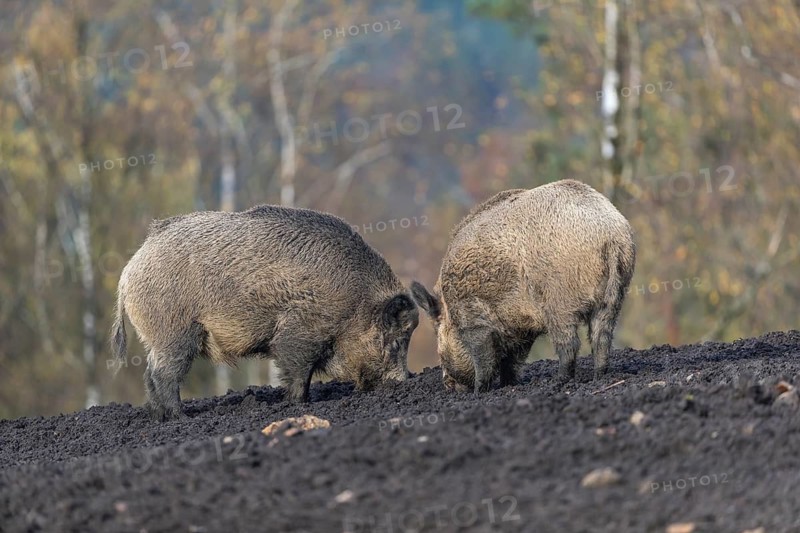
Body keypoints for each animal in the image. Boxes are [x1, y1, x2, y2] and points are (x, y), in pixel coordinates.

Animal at [111, 205, 419, 420]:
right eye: (396, 341)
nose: (403, 381)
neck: (356, 302)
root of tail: (128, 272)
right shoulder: (300, 332)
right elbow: (299, 371)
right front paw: (298, 404)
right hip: (175, 332)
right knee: (163, 373)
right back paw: (180, 417)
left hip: (158, 336)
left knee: (149, 371)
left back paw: (159, 417)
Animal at [411, 180, 635, 392]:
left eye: (437, 334)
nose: (448, 385)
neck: (449, 307)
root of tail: (610, 235)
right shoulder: (521, 328)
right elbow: (514, 360)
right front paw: (508, 384)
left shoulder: (474, 318)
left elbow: (484, 357)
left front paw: (479, 392)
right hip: (614, 295)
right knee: (602, 337)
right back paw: (599, 376)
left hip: (559, 301)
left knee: (569, 343)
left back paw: (560, 380)